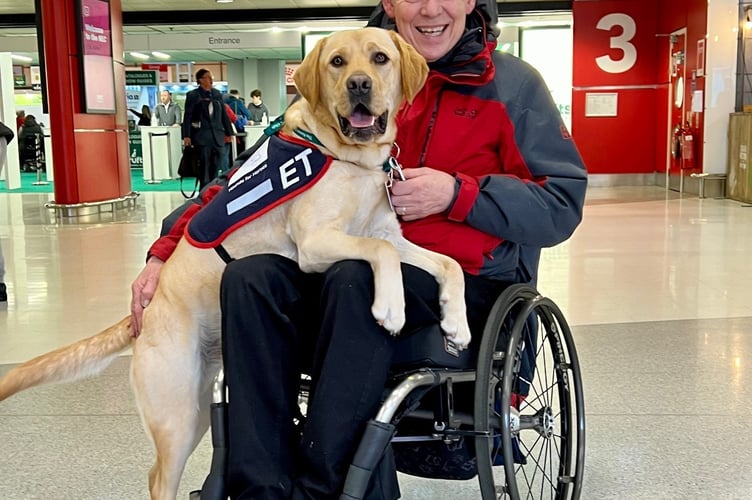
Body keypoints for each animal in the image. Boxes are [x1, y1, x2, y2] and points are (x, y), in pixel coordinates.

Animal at [0, 28, 470, 500]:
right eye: (337, 62)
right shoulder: (316, 243)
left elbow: (448, 263)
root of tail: (147, 311)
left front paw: (457, 323)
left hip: (199, 407)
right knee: (158, 478)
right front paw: (391, 306)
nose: (359, 84)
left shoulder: (389, 234)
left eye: (379, 58)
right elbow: (380, 253)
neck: (348, 158)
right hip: (176, 413)